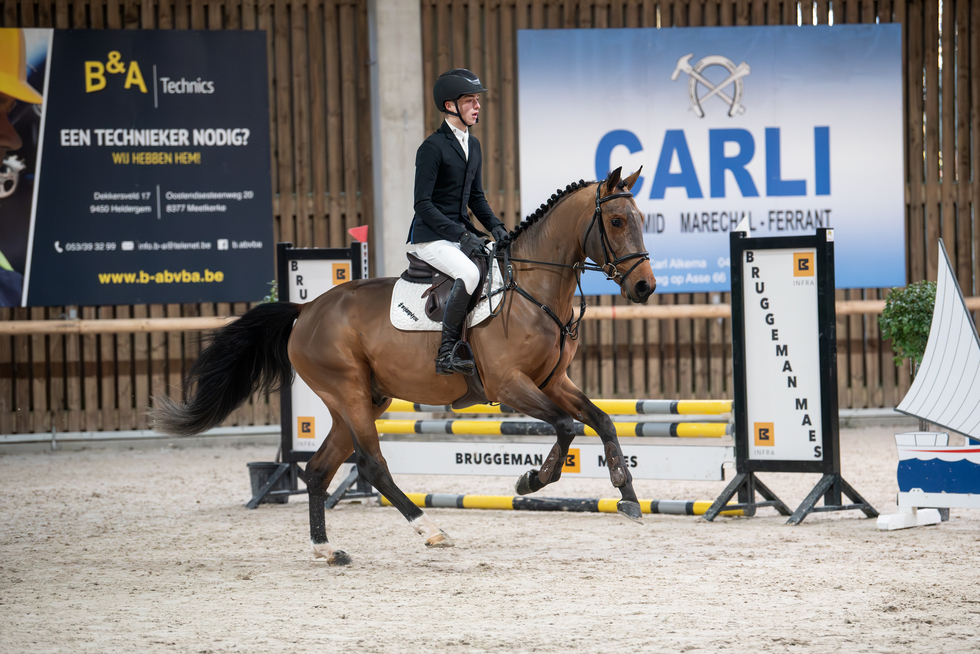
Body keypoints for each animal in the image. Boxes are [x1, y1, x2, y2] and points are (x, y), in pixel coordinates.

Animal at [151, 166, 656, 565]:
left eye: (640, 220)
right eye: (616, 220)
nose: (645, 287)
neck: (535, 289)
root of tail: (306, 309)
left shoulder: (553, 381)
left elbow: (602, 421)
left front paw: (628, 496)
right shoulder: (511, 385)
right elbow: (567, 426)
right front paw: (531, 479)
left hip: (362, 401)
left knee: (318, 469)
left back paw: (327, 550)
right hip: (350, 394)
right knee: (372, 466)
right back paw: (430, 529)